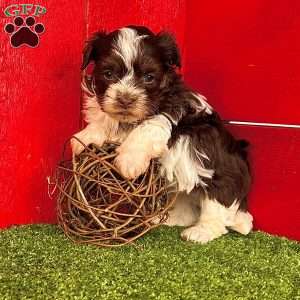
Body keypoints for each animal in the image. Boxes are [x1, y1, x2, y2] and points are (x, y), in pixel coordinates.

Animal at [72, 25, 253, 244]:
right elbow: (106, 119)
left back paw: (201, 231)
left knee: (219, 201)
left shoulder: (175, 108)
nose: (125, 99)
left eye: (149, 77)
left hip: (220, 170)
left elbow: (148, 126)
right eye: (108, 74)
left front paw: (128, 161)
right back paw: (165, 218)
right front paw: (86, 136)